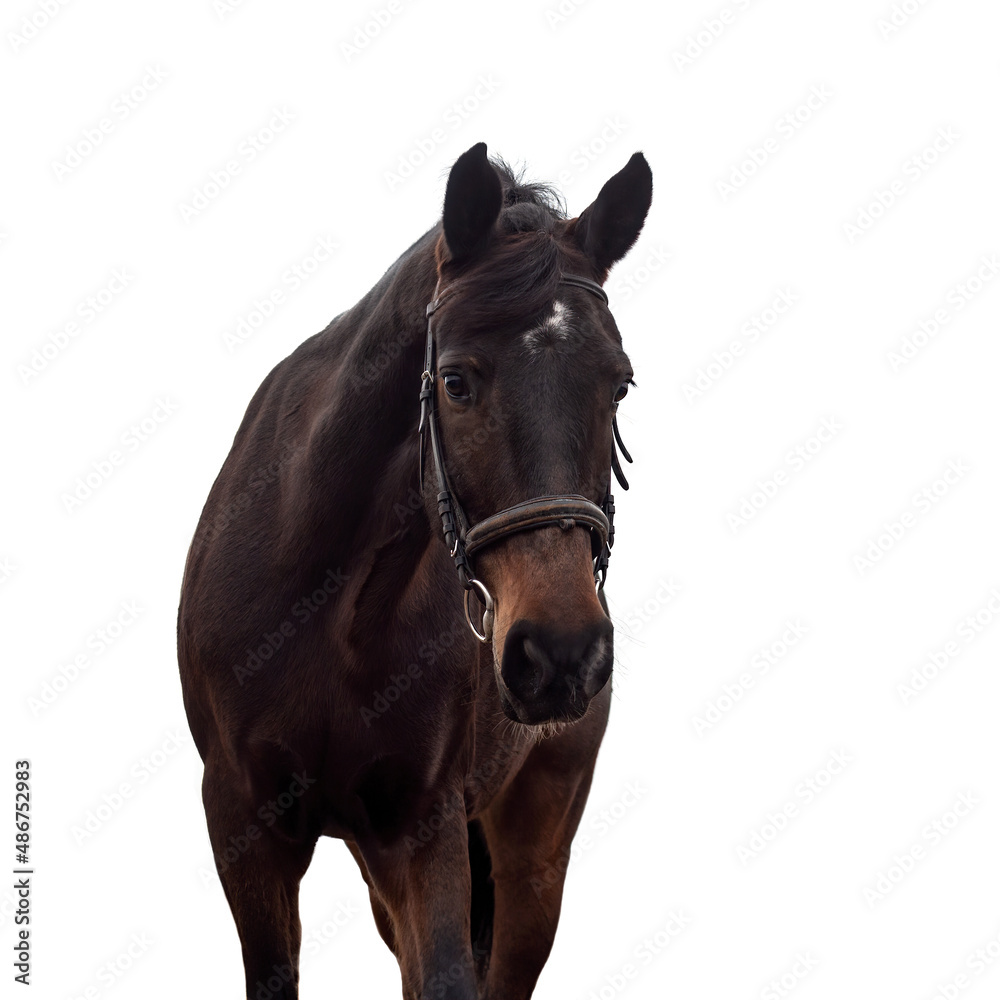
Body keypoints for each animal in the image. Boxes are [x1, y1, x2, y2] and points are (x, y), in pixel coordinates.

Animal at [177, 141, 652, 999]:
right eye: (456, 380)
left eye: (619, 384)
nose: (561, 653)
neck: (329, 613)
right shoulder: (243, 821)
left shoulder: (424, 830)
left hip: (531, 852)